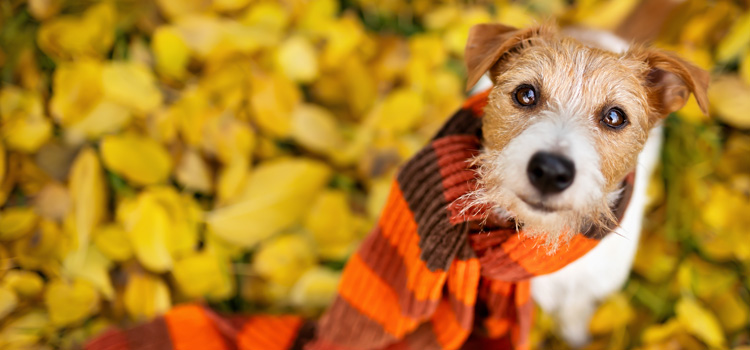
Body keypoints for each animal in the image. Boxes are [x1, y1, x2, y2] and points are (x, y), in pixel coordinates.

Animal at [464, 22, 712, 348]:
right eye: (526, 94)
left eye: (614, 116)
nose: (550, 171)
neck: (548, 240)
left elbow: (575, 309)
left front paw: (576, 333)